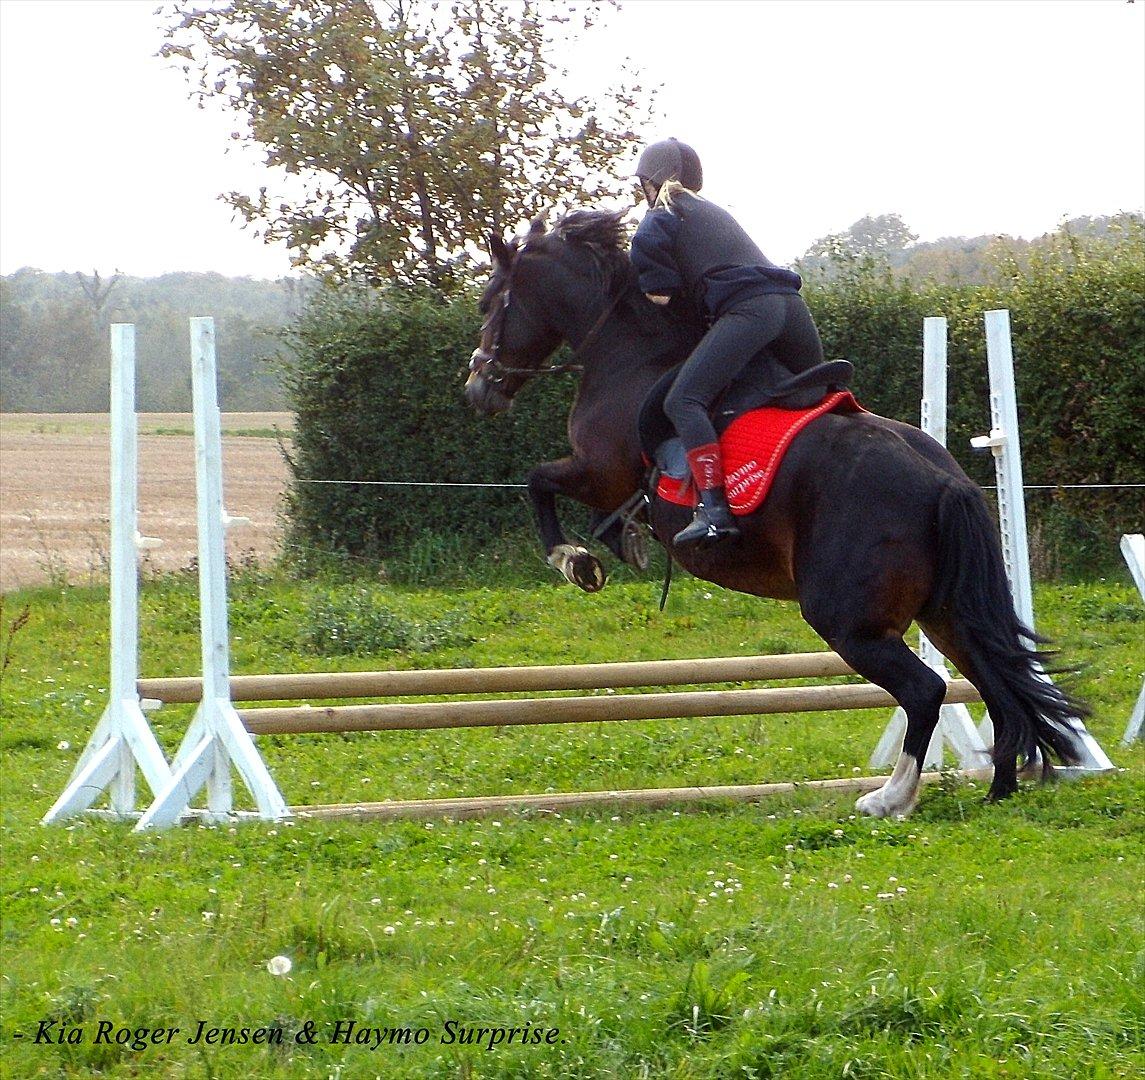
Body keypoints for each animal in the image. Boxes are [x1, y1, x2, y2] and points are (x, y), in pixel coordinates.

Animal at [462, 209, 1080, 820]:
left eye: (490, 303)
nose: (477, 388)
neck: (626, 353)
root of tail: (943, 481)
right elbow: (585, 507)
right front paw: (619, 543)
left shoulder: (599, 470)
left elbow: (539, 481)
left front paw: (573, 560)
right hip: (947, 612)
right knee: (995, 683)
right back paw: (998, 789)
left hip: (846, 619)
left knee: (927, 691)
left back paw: (891, 797)